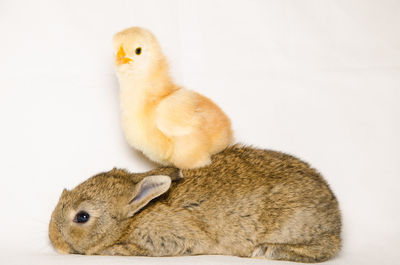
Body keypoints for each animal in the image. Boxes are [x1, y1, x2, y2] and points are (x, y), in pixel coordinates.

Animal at [49, 144, 340, 262]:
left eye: (82, 217)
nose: (53, 240)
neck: (135, 216)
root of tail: (337, 222)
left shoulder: (170, 239)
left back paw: (267, 250)